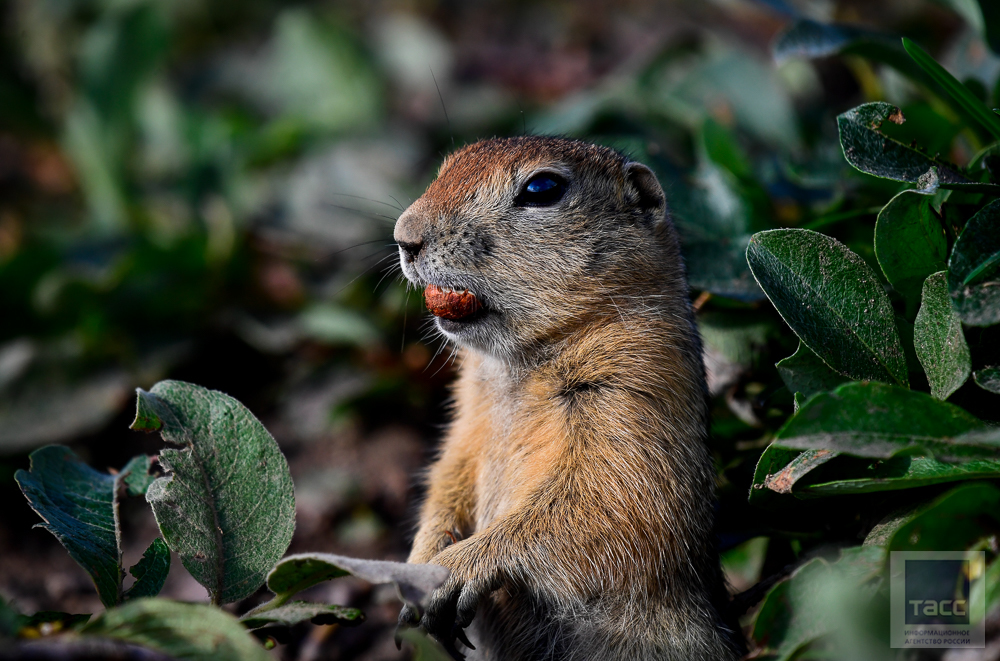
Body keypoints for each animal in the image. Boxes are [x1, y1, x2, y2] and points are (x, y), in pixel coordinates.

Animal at [390, 137, 744, 656]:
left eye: (542, 188)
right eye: (448, 165)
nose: (405, 236)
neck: (515, 365)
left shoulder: (634, 387)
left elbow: (603, 503)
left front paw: (456, 567)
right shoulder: (468, 418)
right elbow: (448, 475)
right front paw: (419, 562)